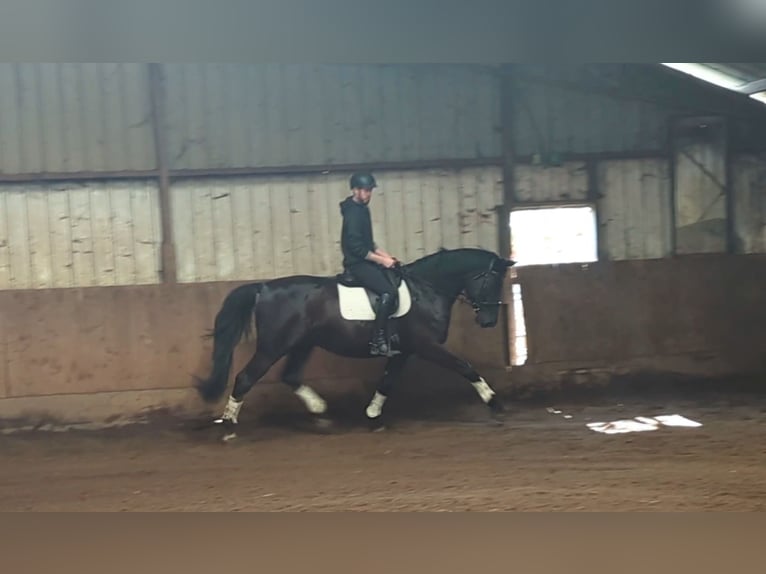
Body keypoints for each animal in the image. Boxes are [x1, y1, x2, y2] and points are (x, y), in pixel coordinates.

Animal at [195, 247, 515, 440]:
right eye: (492, 281)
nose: (488, 321)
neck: (426, 289)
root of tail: (263, 287)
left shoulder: (403, 352)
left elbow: (387, 382)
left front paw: (373, 417)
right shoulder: (426, 346)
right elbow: (465, 367)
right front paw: (495, 402)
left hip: (302, 344)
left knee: (291, 376)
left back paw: (320, 411)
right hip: (274, 346)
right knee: (245, 377)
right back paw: (228, 426)